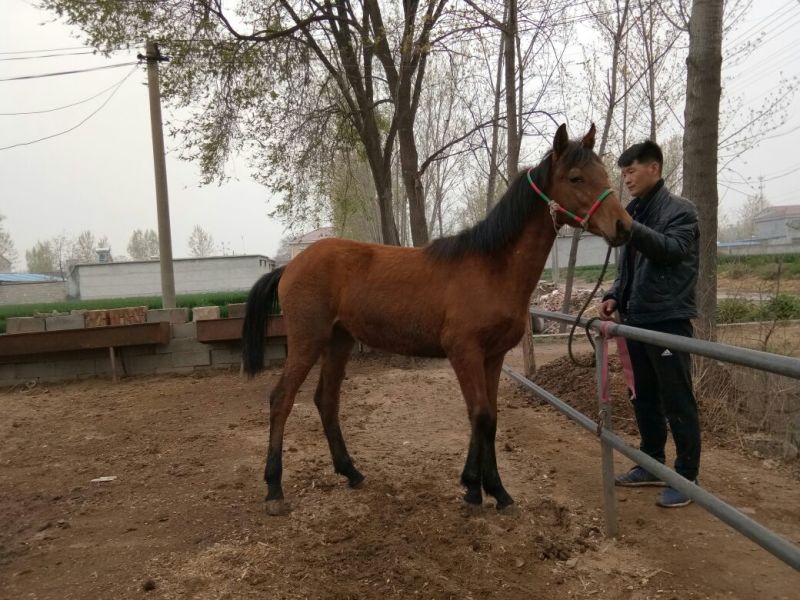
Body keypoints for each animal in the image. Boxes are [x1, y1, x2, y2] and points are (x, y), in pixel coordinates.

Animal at [242, 123, 633, 516]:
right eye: (575, 176)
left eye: (603, 171)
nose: (624, 226)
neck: (492, 268)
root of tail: (291, 265)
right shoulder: (464, 352)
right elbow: (480, 414)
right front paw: (478, 489)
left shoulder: (493, 356)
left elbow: (489, 416)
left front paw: (490, 489)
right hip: (308, 341)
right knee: (281, 399)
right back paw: (274, 489)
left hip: (339, 340)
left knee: (326, 400)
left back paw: (351, 472)